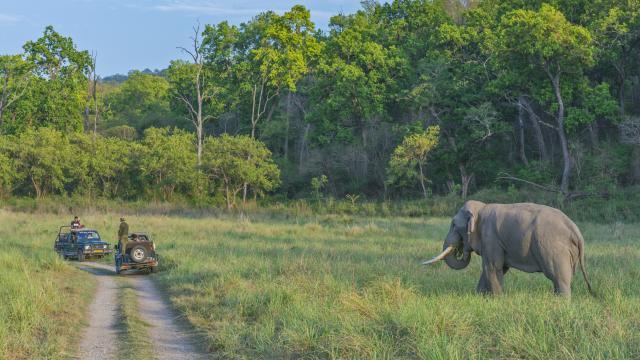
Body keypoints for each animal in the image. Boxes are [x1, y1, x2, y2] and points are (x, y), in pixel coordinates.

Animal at [420, 200, 596, 296]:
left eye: (454, 225)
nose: (461, 250)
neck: (481, 207)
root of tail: (576, 230)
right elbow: (495, 269)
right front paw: (479, 297)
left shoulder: (490, 237)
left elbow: (493, 267)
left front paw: (497, 299)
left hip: (553, 249)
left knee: (559, 277)